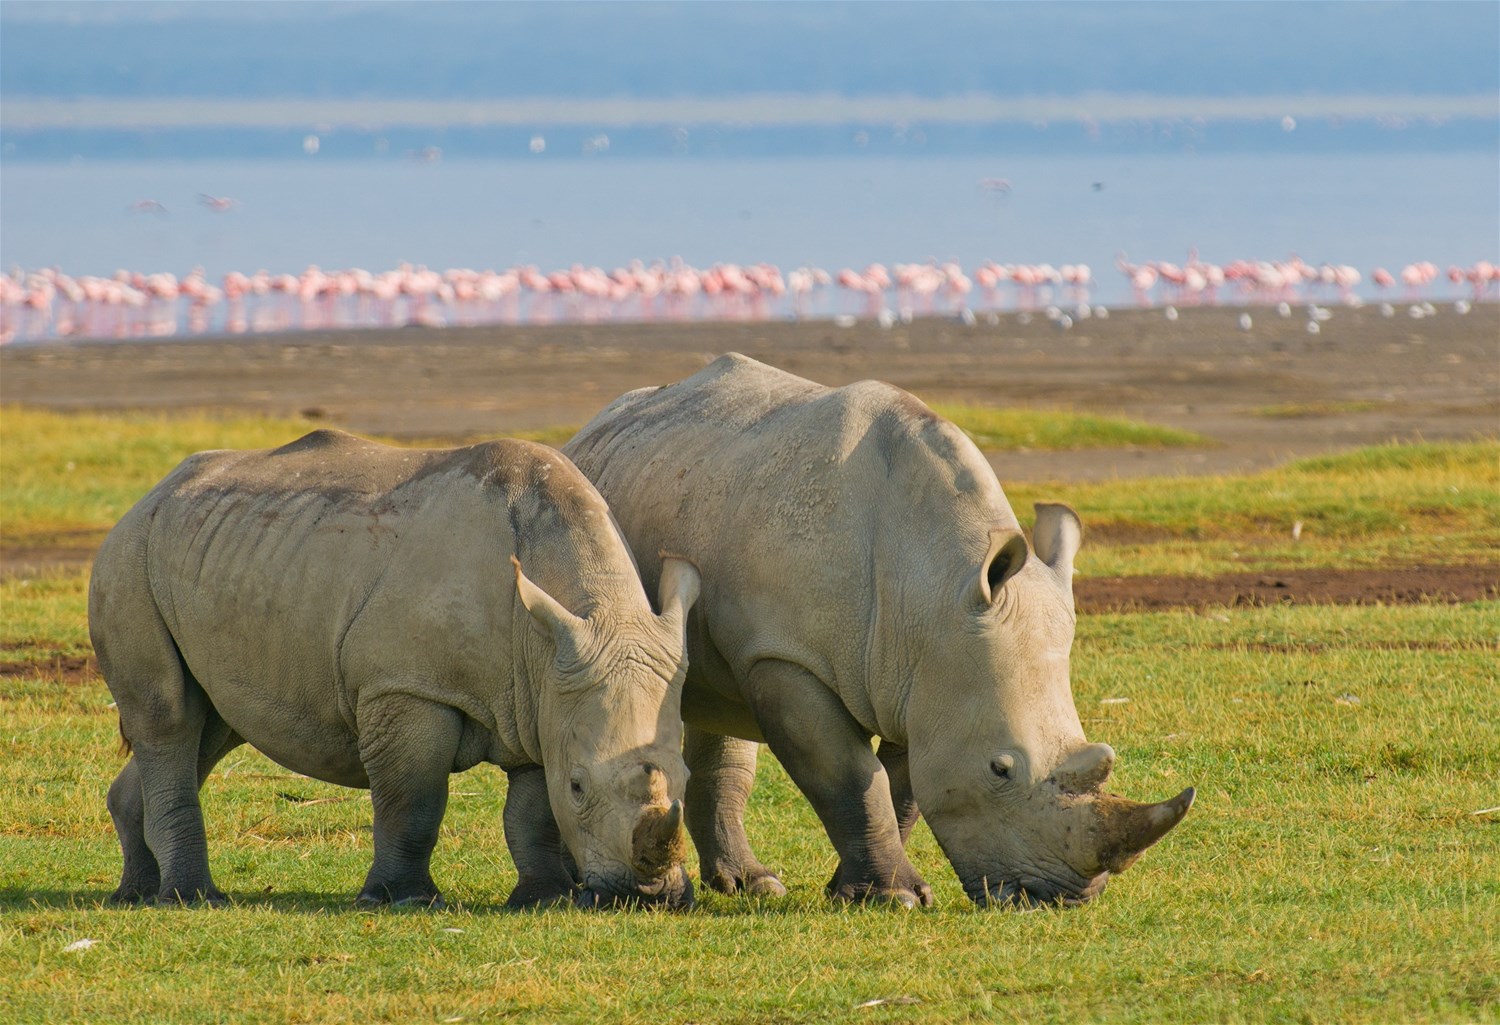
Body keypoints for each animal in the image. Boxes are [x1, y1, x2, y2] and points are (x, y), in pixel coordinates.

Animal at [90, 429, 699, 912]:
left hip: (219, 552)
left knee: (211, 726)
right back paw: (192, 898)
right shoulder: (406, 687)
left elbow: (532, 812)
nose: (649, 898)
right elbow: (413, 800)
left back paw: (136, 894)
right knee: (169, 718)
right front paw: (401, 899)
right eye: (578, 786)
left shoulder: (542, 697)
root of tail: (150, 494)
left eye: (687, 778)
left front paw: (543, 899)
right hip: (128, 556)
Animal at [567, 352, 1200, 906]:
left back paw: (754, 885)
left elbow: (903, 786)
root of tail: (596, 423)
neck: (933, 584)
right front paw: (893, 897)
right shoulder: (788, 657)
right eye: (999, 769)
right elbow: (851, 776)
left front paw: (862, 890)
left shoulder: (924, 668)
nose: (1062, 897)